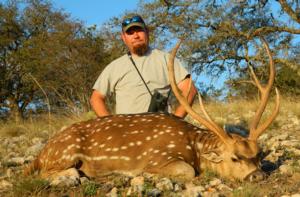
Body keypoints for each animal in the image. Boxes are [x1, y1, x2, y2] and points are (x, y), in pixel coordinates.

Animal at [24, 37, 280, 182]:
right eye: (235, 158)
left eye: (259, 155)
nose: (257, 175)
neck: (194, 147)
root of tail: (41, 153)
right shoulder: (159, 157)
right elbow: (188, 171)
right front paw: (141, 174)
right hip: (66, 152)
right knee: (51, 172)